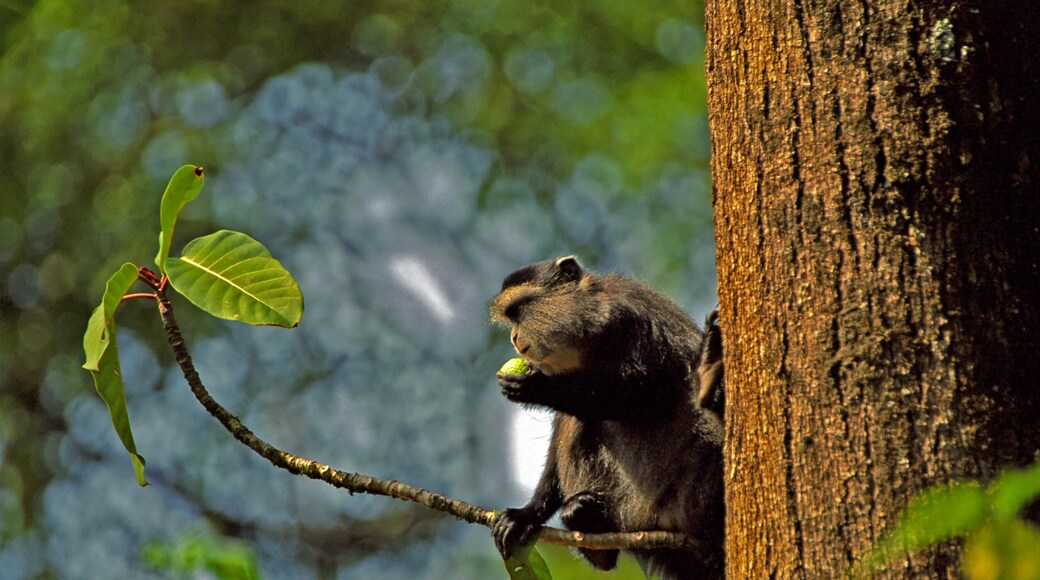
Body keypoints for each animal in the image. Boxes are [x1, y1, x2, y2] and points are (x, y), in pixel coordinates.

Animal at [489, 256, 725, 580]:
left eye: (520, 311)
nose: (514, 337)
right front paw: (527, 515)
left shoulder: (629, 320)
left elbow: (650, 393)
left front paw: (537, 387)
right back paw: (591, 530)